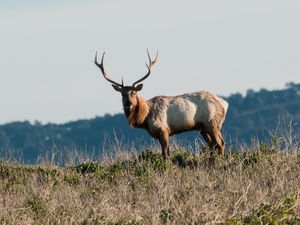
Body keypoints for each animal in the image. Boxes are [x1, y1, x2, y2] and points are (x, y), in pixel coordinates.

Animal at [95, 50, 229, 159]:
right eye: (122, 94)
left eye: (134, 92)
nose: (128, 103)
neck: (146, 117)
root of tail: (224, 103)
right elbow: (166, 153)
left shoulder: (163, 129)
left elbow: (165, 154)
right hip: (202, 127)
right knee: (212, 144)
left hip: (212, 122)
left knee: (220, 143)